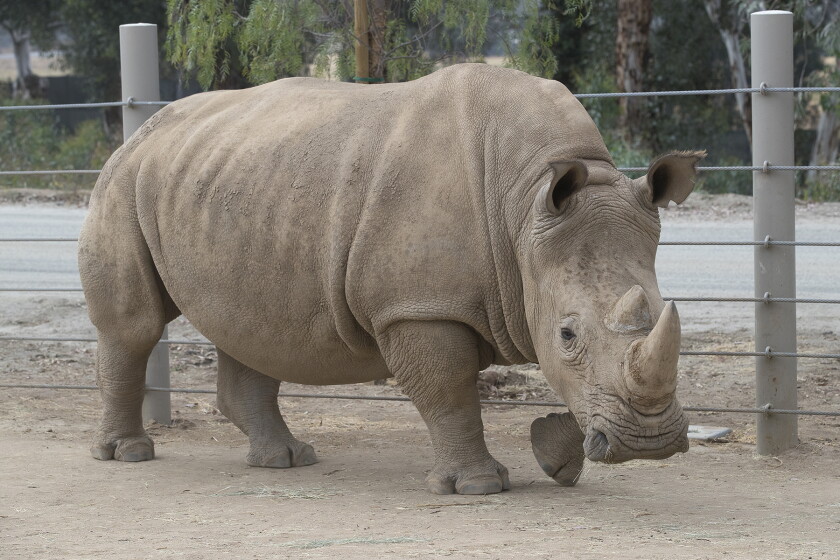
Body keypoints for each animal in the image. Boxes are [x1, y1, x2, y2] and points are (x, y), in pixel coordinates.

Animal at [79, 63, 703, 495]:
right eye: (568, 333)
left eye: (665, 312)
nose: (648, 444)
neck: (524, 209)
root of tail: (141, 131)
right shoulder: (418, 305)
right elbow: (449, 390)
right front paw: (479, 487)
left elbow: (568, 382)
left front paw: (556, 453)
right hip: (123, 181)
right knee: (134, 327)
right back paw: (129, 455)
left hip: (230, 183)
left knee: (251, 324)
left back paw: (287, 460)